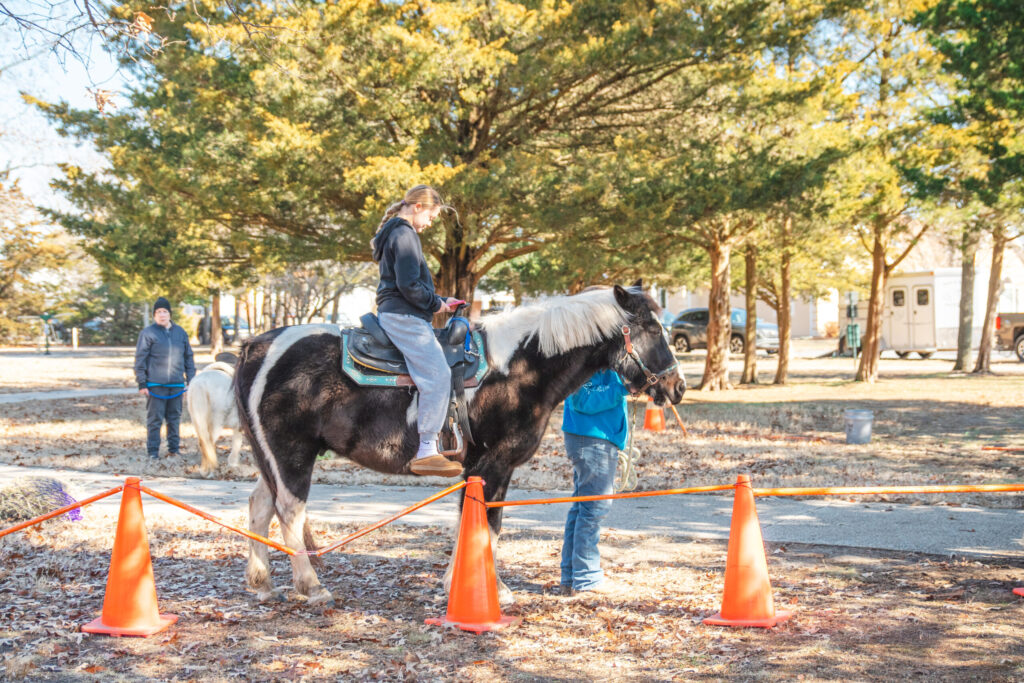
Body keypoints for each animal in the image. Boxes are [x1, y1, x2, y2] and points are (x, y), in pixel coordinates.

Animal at [233, 284, 686, 607]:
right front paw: (486, 590)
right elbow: (487, 525)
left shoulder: (486, 470)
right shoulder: (492, 466)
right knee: (289, 511)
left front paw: (467, 584)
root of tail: (255, 345)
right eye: (651, 329)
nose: (677, 387)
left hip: (270, 456)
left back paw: (262, 582)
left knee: (260, 505)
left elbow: (479, 523)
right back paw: (311, 587)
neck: (521, 368)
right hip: (291, 453)